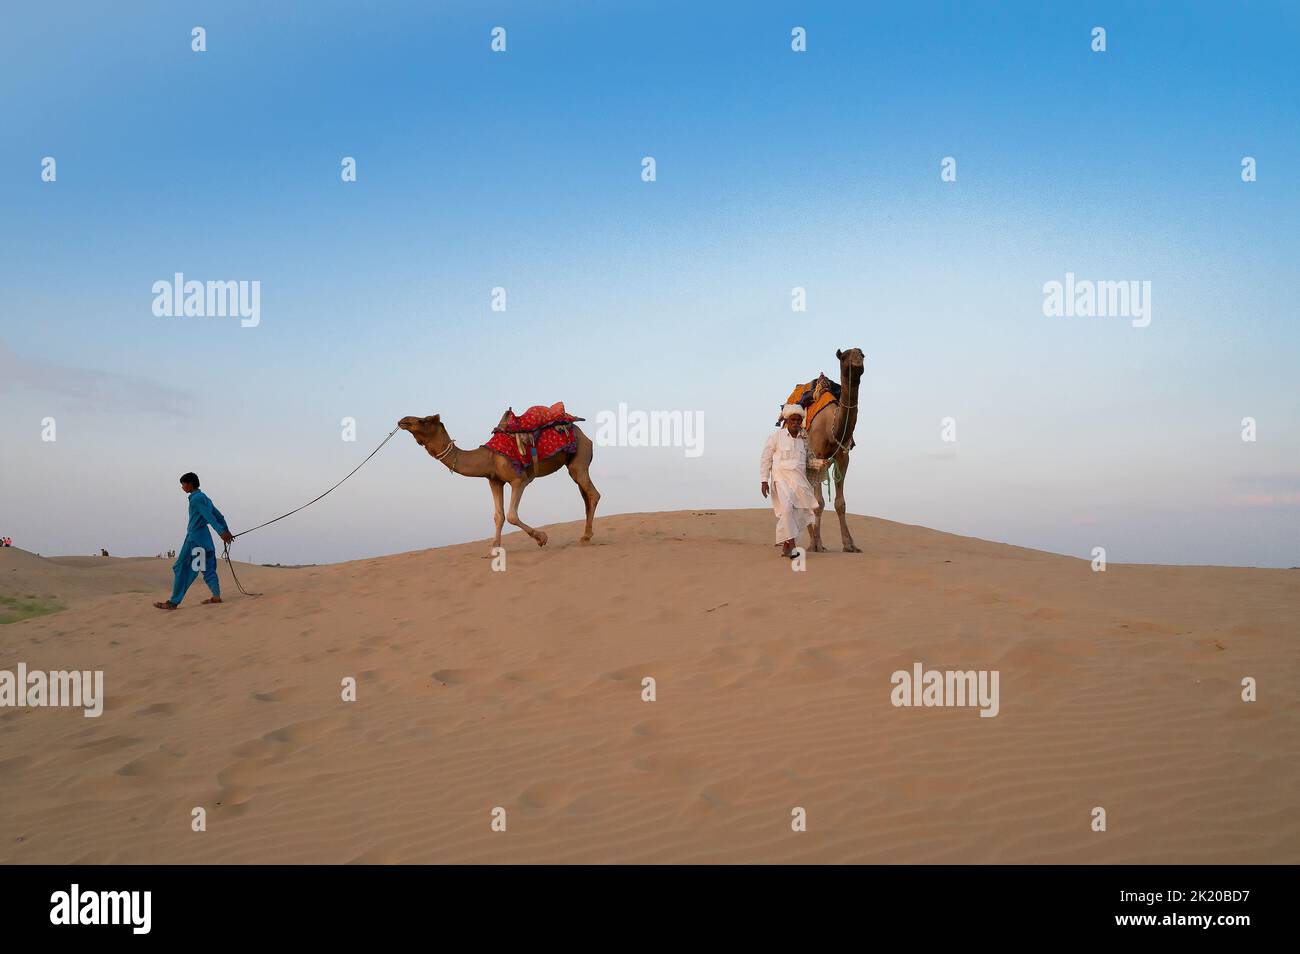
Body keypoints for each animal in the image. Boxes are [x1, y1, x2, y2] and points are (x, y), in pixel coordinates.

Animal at [395, 413, 598, 553]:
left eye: (424, 420)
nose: (403, 420)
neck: (489, 458)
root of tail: (586, 436)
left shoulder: (519, 480)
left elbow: (511, 515)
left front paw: (542, 538)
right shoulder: (494, 481)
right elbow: (498, 516)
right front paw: (493, 550)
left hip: (579, 459)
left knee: (593, 494)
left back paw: (585, 538)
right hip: (573, 464)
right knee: (586, 497)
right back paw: (586, 535)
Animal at [800, 348, 863, 553]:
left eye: (862, 354)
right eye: (844, 357)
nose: (857, 361)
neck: (830, 428)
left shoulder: (843, 458)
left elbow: (840, 503)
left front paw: (850, 545)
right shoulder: (817, 456)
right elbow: (819, 503)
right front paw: (816, 544)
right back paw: (812, 541)